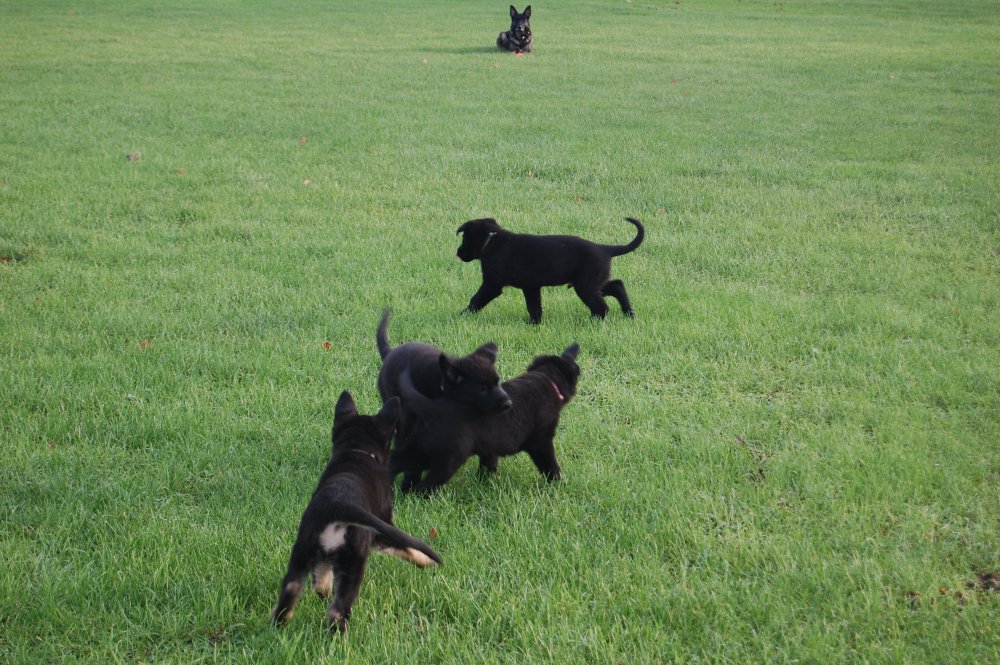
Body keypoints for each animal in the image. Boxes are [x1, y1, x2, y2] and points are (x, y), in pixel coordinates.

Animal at [271, 391, 441, 632]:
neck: (357, 452)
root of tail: (338, 505)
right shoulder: (382, 527)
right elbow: (405, 547)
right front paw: (426, 561)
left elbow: (321, 575)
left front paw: (322, 589)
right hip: (355, 560)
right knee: (338, 610)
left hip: (302, 551)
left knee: (291, 591)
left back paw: (279, 625)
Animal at [391, 343, 581, 495]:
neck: (546, 379)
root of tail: (432, 408)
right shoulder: (541, 441)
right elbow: (550, 465)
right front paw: (558, 484)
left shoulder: (490, 447)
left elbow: (488, 464)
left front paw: (484, 482)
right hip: (448, 459)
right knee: (423, 486)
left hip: (418, 448)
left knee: (395, 463)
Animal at [455, 217, 644, 324]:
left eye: (464, 237)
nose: (458, 253)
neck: (491, 240)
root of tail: (605, 249)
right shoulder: (531, 287)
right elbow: (534, 306)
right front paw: (535, 323)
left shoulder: (492, 284)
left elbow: (476, 299)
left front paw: (462, 314)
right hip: (592, 282)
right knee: (617, 285)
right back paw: (629, 313)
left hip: (586, 286)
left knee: (602, 306)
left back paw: (593, 322)